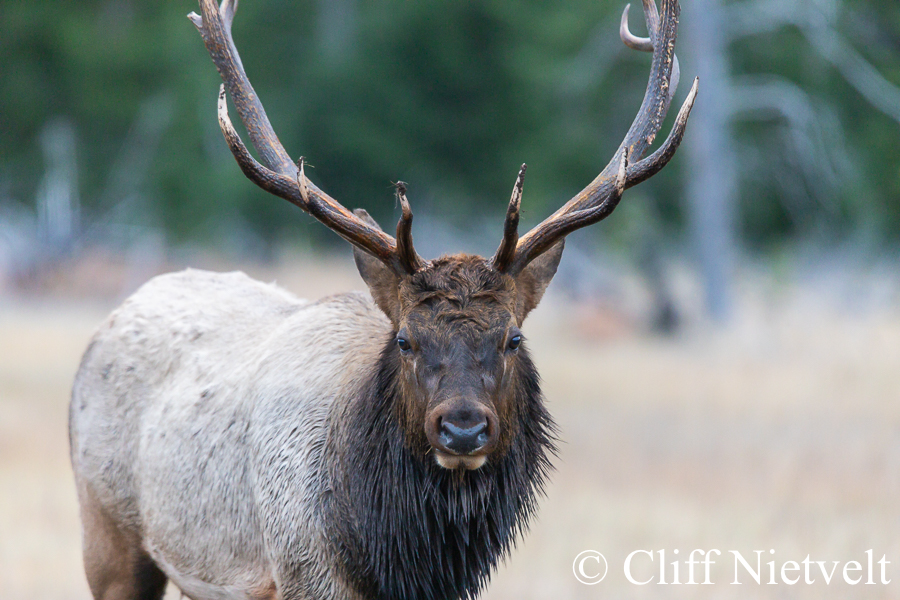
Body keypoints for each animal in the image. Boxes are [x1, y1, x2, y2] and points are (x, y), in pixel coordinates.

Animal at [70, 1, 700, 600]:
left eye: (513, 337)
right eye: (404, 339)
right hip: (107, 531)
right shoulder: (299, 574)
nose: (463, 429)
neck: (387, 560)